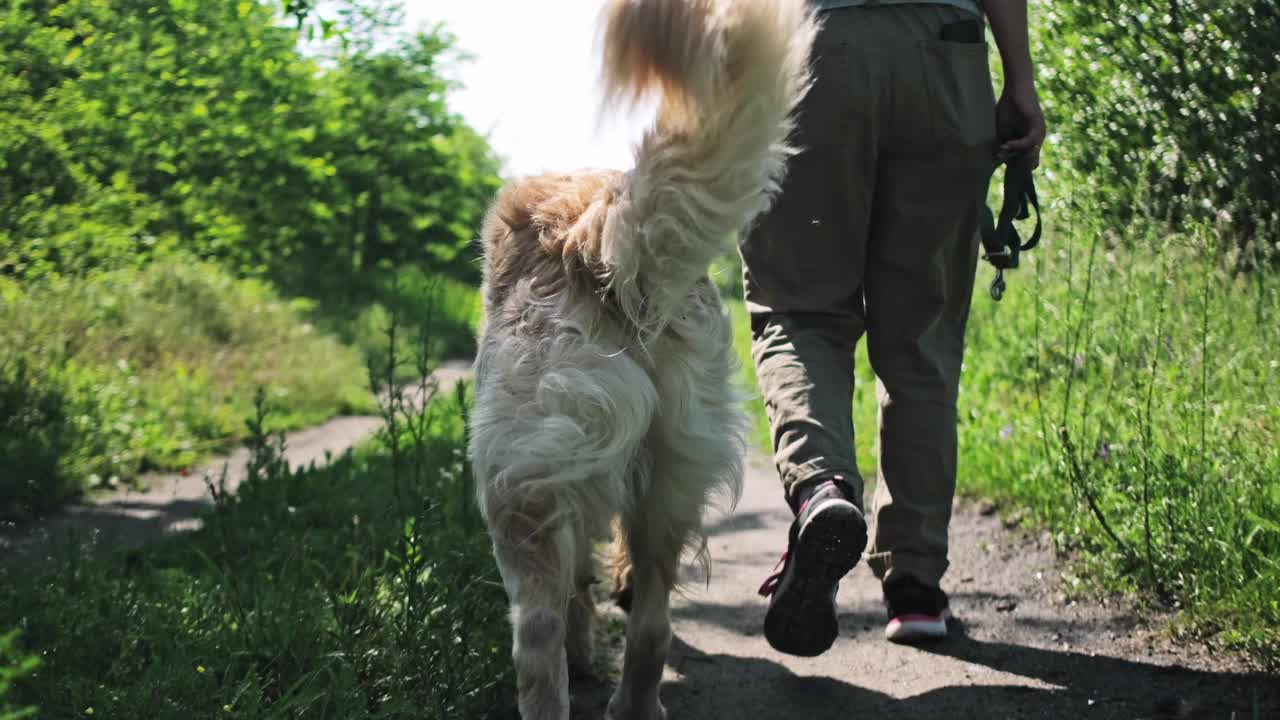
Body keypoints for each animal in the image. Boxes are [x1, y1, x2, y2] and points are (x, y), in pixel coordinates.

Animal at [465, 2, 814, 712]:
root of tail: (594, 235)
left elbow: (576, 593)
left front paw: (584, 648)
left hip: (516, 493)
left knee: (538, 639)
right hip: (675, 474)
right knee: (653, 627)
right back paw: (635, 700)